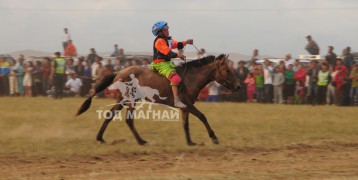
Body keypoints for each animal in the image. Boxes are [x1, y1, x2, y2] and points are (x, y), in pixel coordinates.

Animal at [77, 54, 242, 146]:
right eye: (227, 70)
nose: (238, 86)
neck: (191, 78)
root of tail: (118, 73)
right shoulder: (187, 104)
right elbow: (202, 116)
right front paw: (214, 137)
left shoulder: (185, 107)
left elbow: (185, 124)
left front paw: (190, 142)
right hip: (130, 101)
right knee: (129, 120)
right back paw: (142, 141)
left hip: (121, 100)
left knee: (109, 116)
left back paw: (100, 138)